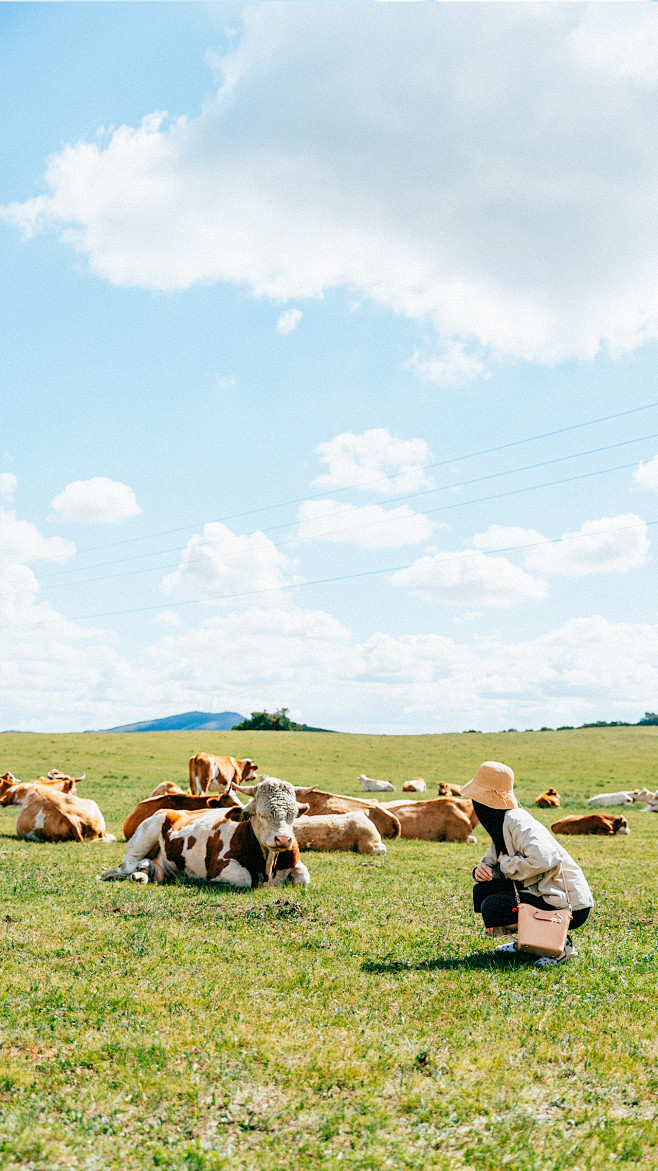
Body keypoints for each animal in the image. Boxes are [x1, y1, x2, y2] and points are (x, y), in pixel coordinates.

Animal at [100, 777, 309, 885]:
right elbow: (244, 878)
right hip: (144, 837)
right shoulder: (219, 867)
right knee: (126, 864)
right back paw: (141, 868)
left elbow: (303, 877)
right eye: (260, 814)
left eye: (293, 814)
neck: (267, 865)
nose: (283, 840)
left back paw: (144, 873)